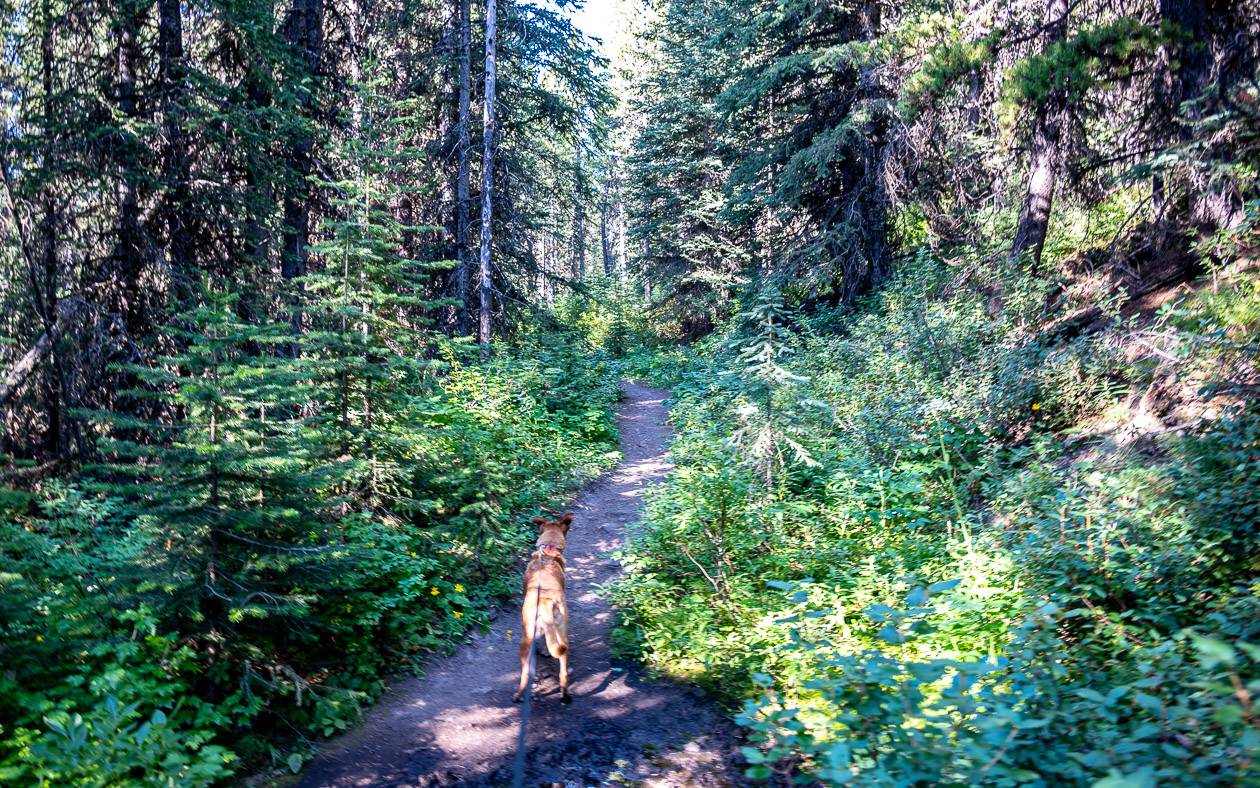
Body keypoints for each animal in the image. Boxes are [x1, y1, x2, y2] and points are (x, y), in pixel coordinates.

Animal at [511, 514, 572, 706]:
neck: (548, 551)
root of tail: (545, 603)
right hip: (562, 634)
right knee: (563, 670)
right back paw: (565, 695)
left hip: (525, 640)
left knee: (524, 674)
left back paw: (518, 696)